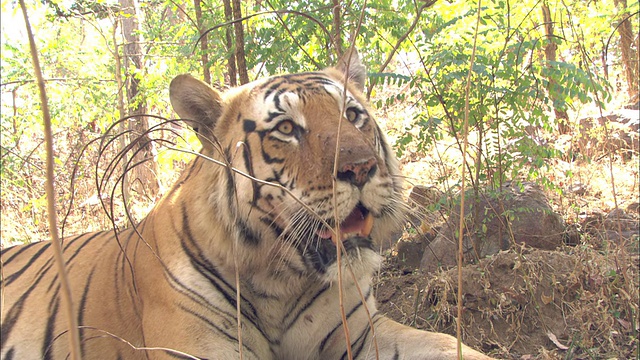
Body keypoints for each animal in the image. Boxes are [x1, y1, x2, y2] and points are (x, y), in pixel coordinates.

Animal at [0, 50, 492, 360]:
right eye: (288, 129)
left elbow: (448, 344)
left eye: (353, 115)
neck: (281, 282)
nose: (361, 168)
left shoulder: (363, 331)